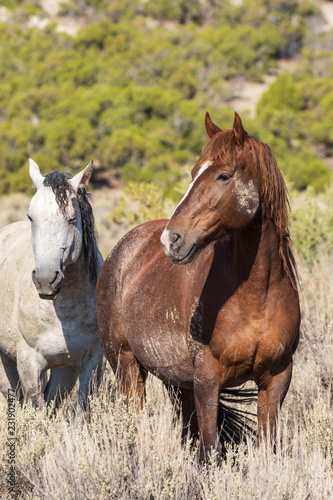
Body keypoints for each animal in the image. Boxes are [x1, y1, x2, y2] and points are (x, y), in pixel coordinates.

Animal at [0, 160, 104, 410]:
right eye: (31, 217)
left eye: (71, 218)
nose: (46, 280)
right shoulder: (29, 363)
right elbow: (35, 409)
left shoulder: (91, 363)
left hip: (64, 371)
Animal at [95, 111, 298, 458]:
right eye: (193, 173)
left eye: (223, 176)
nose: (172, 239)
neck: (258, 295)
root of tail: (121, 250)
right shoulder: (207, 380)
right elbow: (211, 450)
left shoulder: (276, 379)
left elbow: (265, 447)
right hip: (127, 368)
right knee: (134, 418)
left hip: (178, 383)